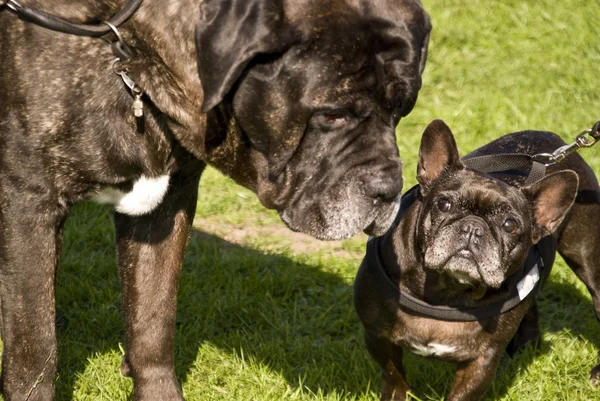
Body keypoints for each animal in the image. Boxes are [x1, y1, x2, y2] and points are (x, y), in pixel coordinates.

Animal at [0, 0, 432, 400]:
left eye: (401, 111)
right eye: (332, 116)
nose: (387, 189)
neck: (129, 56)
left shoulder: (163, 206)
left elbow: (153, 321)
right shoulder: (29, 205)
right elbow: (34, 343)